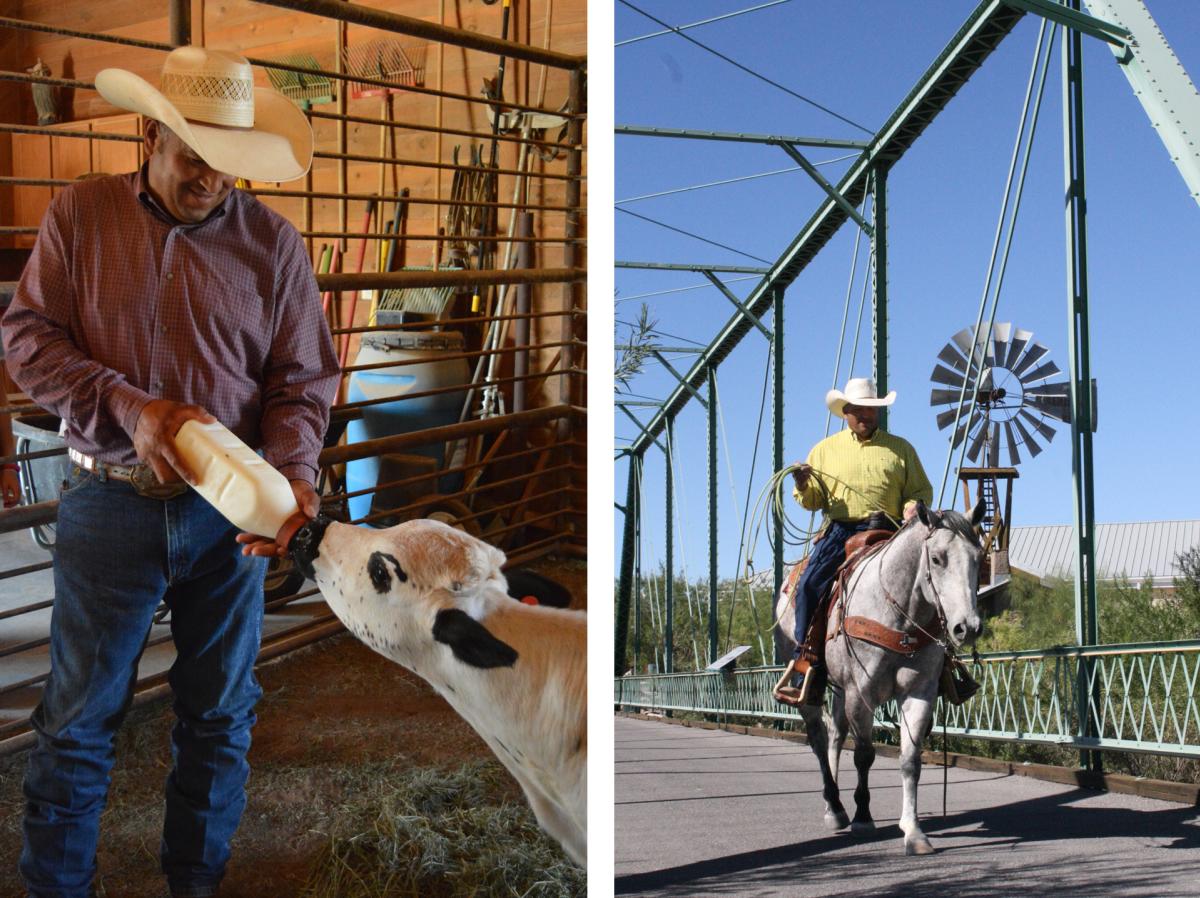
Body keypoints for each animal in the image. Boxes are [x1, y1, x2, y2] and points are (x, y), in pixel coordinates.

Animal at [772, 501, 988, 854]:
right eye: (937, 558)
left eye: (979, 558)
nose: (966, 627)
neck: (900, 616)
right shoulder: (861, 694)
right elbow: (864, 755)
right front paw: (863, 817)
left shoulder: (919, 693)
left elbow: (910, 760)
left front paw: (914, 831)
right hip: (810, 687)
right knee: (818, 738)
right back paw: (835, 806)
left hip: (841, 690)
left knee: (835, 735)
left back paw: (835, 807)